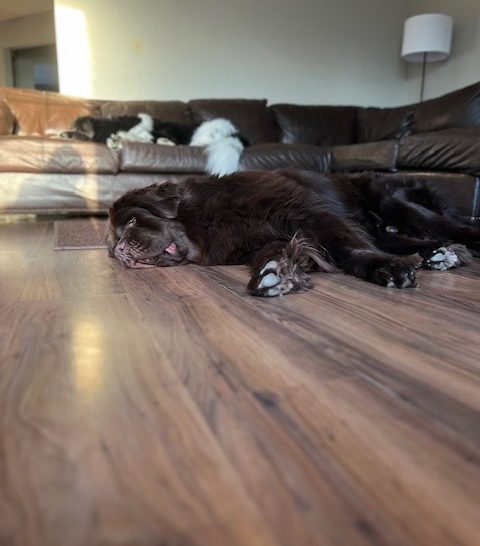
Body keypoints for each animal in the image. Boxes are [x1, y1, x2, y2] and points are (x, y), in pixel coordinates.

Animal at [107, 170, 478, 298]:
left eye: (132, 222)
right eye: (110, 249)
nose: (121, 252)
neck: (207, 219)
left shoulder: (308, 213)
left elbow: (347, 248)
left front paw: (385, 268)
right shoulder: (259, 240)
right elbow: (271, 253)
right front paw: (274, 273)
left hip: (393, 201)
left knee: (453, 226)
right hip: (388, 230)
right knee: (415, 240)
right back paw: (443, 255)